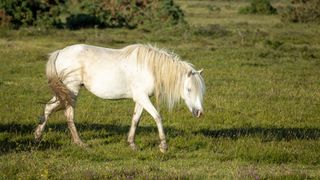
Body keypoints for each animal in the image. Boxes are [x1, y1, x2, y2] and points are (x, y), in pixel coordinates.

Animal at [34, 43, 205, 152]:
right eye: (189, 89)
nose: (199, 113)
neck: (149, 68)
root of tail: (60, 52)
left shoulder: (140, 99)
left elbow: (135, 119)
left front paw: (132, 144)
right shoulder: (142, 97)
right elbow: (157, 117)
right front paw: (163, 146)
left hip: (65, 92)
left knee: (48, 108)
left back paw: (37, 136)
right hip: (72, 90)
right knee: (68, 114)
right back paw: (80, 143)